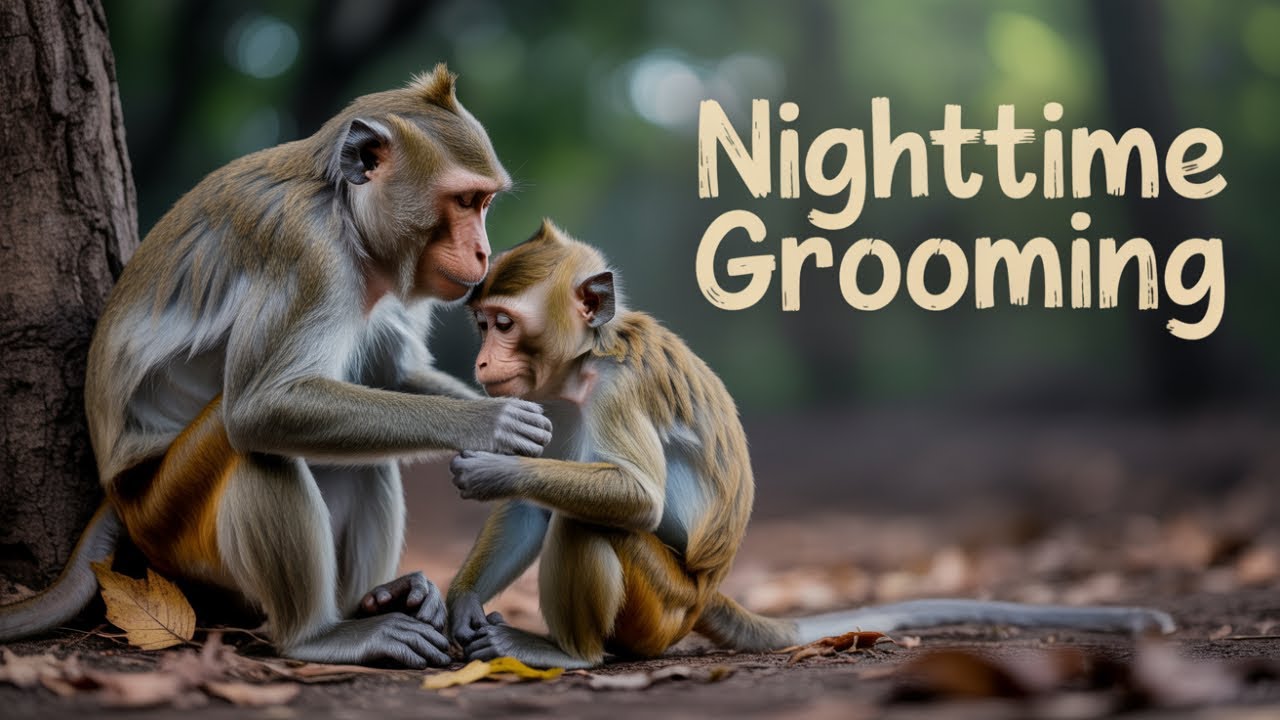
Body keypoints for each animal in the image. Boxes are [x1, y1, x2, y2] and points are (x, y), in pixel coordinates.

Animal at [0, 65, 553, 669]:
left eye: (483, 203)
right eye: (465, 200)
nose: (483, 253)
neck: (344, 217)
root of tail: (118, 493)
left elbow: (392, 378)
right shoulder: (306, 255)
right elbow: (261, 407)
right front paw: (491, 424)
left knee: (363, 456)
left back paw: (373, 601)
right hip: (165, 517)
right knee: (251, 443)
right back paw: (318, 635)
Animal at [442, 220, 1175, 669]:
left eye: (504, 324)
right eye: (483, 324)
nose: (481, 363)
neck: (582, 367)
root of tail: (709, 591)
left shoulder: (620, 388)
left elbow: (638, 498)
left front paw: (488, 473)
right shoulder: (539, 393)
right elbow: (529, 507)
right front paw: (457, 604)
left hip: (664, 605)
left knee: (593, 525)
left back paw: (571, 654)